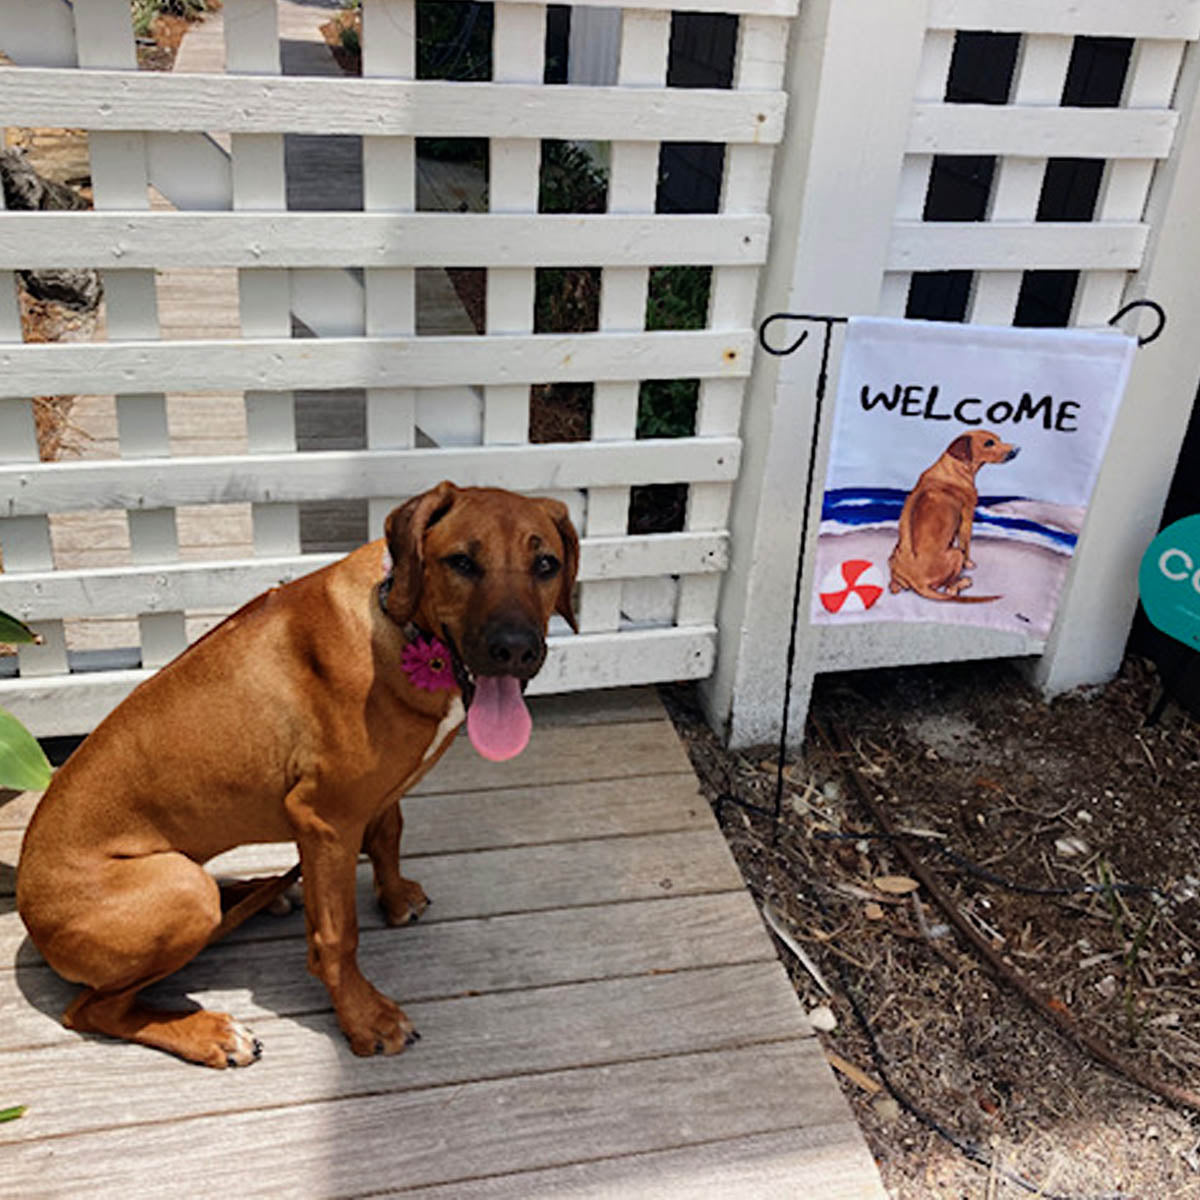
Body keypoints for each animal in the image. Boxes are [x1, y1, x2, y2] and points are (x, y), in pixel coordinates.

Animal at [16, 482, 578, 1065]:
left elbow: (388, 833)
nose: (515, 650)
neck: (396, 624)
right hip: (181, 889)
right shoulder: (325, 819)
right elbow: (337, 936)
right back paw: (208, 1032)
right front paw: (365, 1018)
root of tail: (27, 906)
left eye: (546, 564)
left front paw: (395, 897)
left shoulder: (370, 798)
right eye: (462, 562)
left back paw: (262, 892)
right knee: (91, 1010)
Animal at [888, 429, 1017, 604]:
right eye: (989, 443)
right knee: (949, 587)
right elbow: (965, 544)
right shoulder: (967, 515)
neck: (954, 467)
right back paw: (963, 582)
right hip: (955, 554)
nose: (1016, 450)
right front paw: (968, 564)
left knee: (894, 585)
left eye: (999, 439)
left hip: (893, 557)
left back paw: (895, 585)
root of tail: (918, 583)